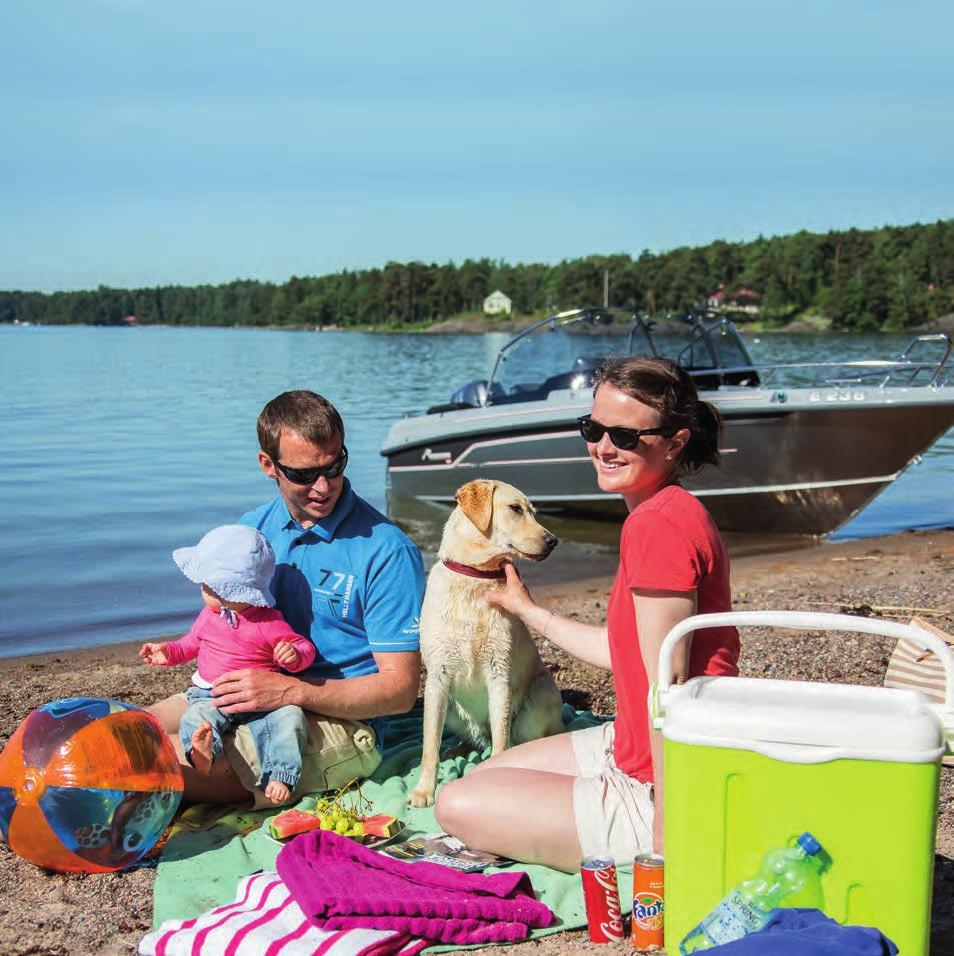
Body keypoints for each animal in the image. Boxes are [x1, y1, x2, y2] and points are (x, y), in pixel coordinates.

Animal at [406, 478, 560, 808]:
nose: (553, 540)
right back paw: (457, 748)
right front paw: (424, 790)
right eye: (515, 509)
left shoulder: (499, 674)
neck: (475, 578)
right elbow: (428, 746)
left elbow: (502, 741)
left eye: (533, 511)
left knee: (520, 739)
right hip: (452, 708)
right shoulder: (436, 679)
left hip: (538, 700)